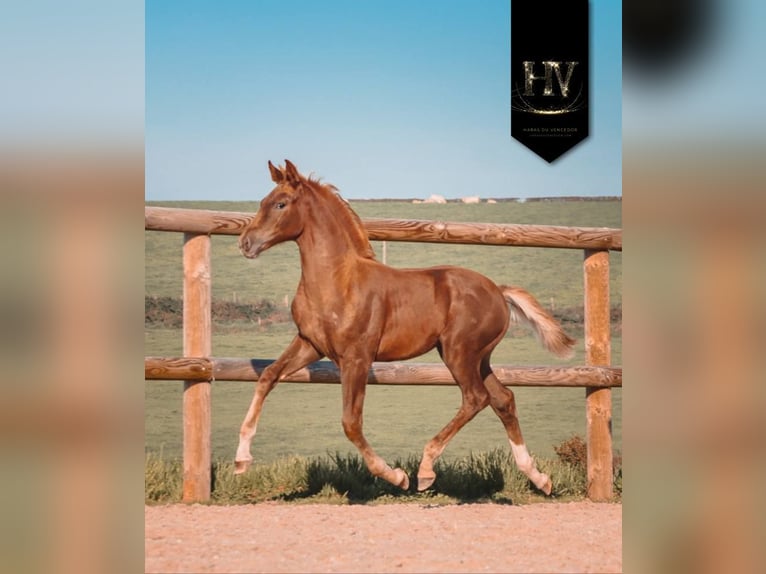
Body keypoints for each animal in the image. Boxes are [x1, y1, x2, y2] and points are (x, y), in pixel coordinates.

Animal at [234, 160, 575, 494]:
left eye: (280, 204)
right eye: (263, 201)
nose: (245, 243)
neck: (338, 281)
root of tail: (498, 291)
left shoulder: (357, 358)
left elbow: (351, 422)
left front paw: (396, 476)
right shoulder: (310, 344)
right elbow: (267, 376)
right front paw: (241, 461)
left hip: (459, 353)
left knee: (476, 398)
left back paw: (425, 470)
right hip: (479, 358)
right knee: (503, 399)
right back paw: (539, 478)